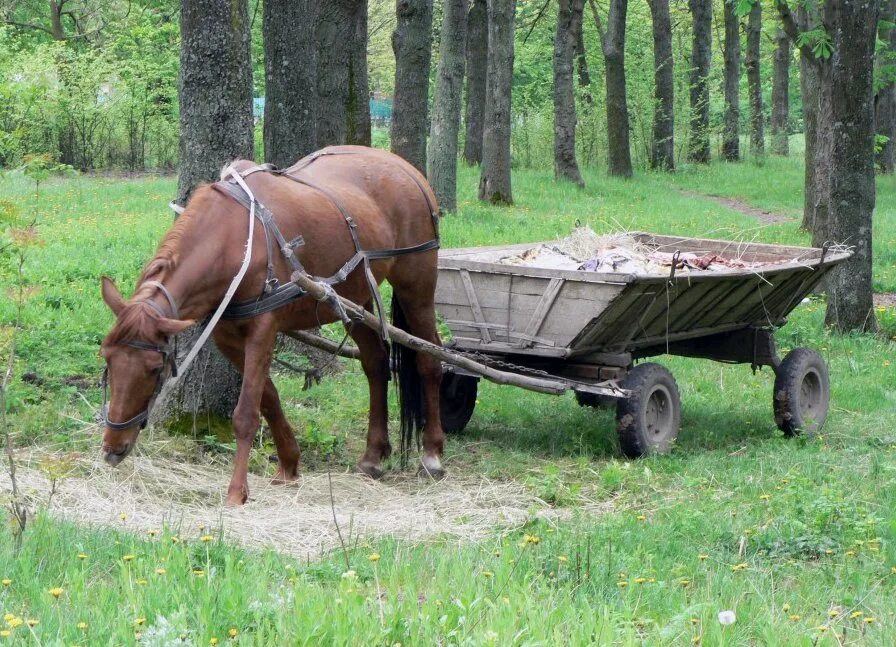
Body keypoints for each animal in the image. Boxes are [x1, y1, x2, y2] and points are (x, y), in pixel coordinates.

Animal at [98, 147, 444, 506]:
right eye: (106, 358)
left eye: (154, 368)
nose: (112, 448)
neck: (236, 240)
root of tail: (405, 168)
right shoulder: (228, 338)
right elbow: (269, 399)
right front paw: (289, 464)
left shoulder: (263, 329)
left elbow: (246, 413)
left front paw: (237, 490)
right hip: (358, 297)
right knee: (375, 364)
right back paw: (373, 455)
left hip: (416, 284)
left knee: (429, 358)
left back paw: (432, 453)